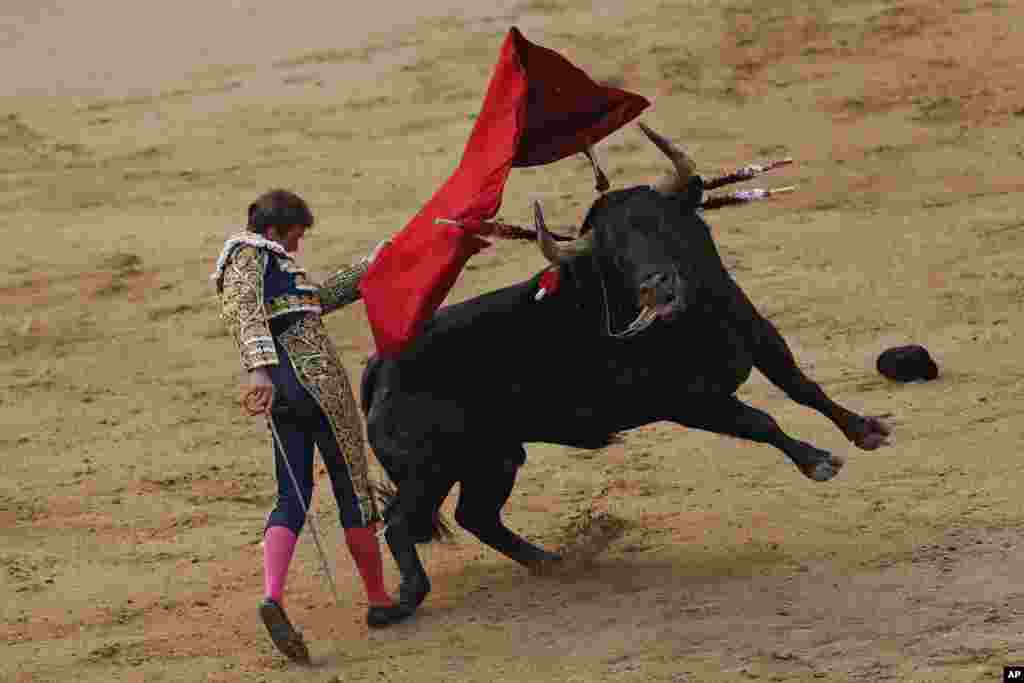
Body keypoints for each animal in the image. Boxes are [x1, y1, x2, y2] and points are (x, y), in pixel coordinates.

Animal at [360, 122, 888, 618]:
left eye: (661, 223)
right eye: (614, 253)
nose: (657, 285)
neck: (699, 320)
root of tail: (381, 363)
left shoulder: (761, 338)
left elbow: (804, 388)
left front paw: (866, 430)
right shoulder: (690, 401)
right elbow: (762, 421)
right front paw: (818, 461)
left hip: (493, 456)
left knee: (476, 515)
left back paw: (553, 562)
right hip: (433, 467)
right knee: (402, 522)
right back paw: (402, 602)